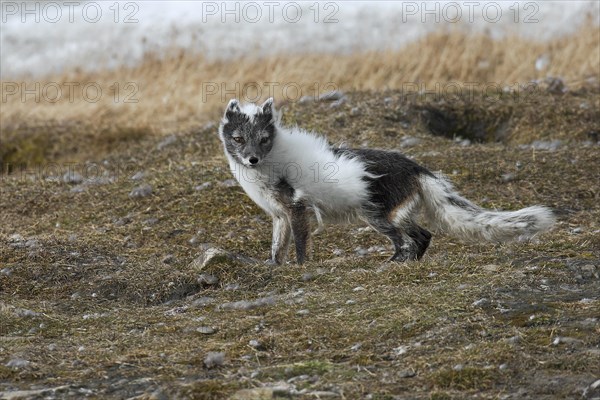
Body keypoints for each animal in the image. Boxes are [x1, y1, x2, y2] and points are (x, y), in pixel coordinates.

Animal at [218, 98, 556, 264]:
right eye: (238, 139)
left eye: (263, 139)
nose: (252, 159)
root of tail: (417, 167)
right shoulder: (279, 215)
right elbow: (277, 248)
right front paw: (274, 269)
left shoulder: (297, 208)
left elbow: (300, 245)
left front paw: (300, 268)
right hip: (395, 213)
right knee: (422, 235)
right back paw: (407, 262)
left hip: (378, 216)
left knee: (408, 238)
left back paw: (394, 261)